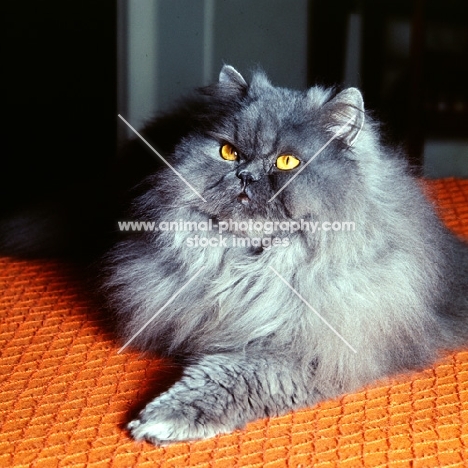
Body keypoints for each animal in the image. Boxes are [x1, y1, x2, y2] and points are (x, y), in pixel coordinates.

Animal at [103, 65, 468, 442]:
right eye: (229, 152)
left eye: (287, 161)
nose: (245, 175)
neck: (251, 266)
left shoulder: (306, 351)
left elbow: (222, 378)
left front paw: (164, 418)